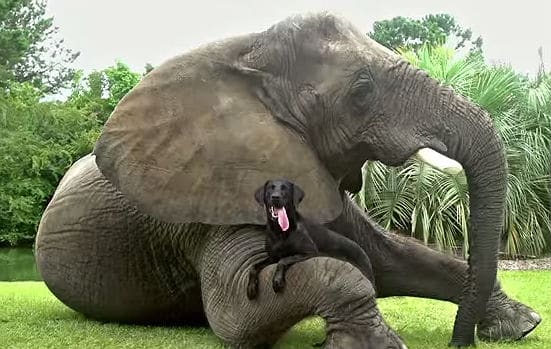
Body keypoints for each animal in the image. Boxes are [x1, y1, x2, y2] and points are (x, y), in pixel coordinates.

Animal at [248, 178, 378, 298]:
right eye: (270, 188)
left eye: (285, 189)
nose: (275, 197)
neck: (280, 232)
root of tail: (365, 255)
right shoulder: (272, 257)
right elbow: (254, 266)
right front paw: (251, 288)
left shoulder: (309, 252)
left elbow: (283, 260)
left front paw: (277, 281)